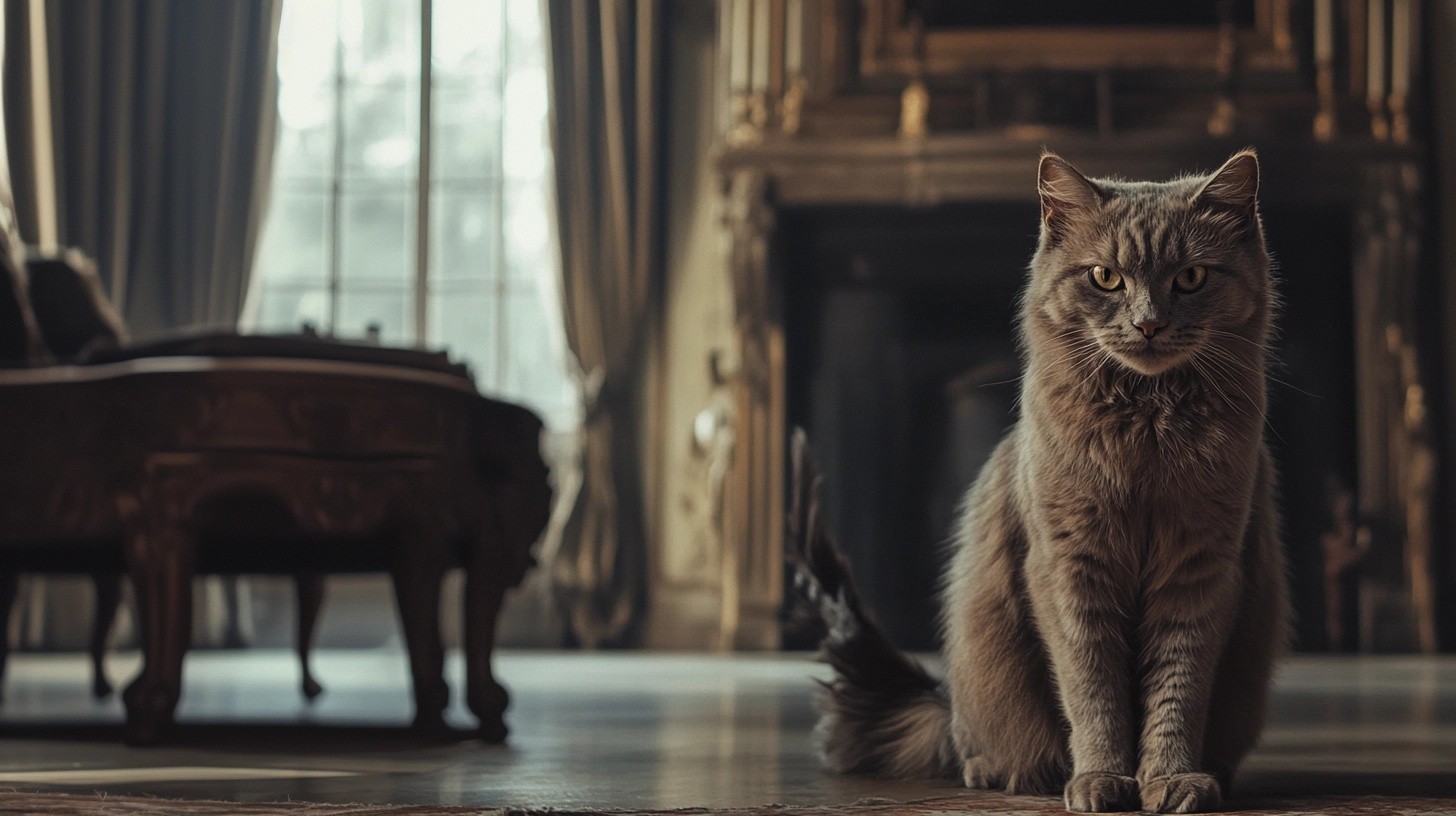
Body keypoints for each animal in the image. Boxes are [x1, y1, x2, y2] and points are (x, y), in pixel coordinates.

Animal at [797, 150, 1287, 810]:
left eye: (1191, 278)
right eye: (1105, 278)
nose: (1149, 324)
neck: (1147, 426)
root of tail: (945, 711)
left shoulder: (1200, 570)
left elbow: (1176, 693)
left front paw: (1171, 781)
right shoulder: (1070, 568)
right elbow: (1094, 694)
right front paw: (1102, 780)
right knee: (978, 747)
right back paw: (1006, 772)